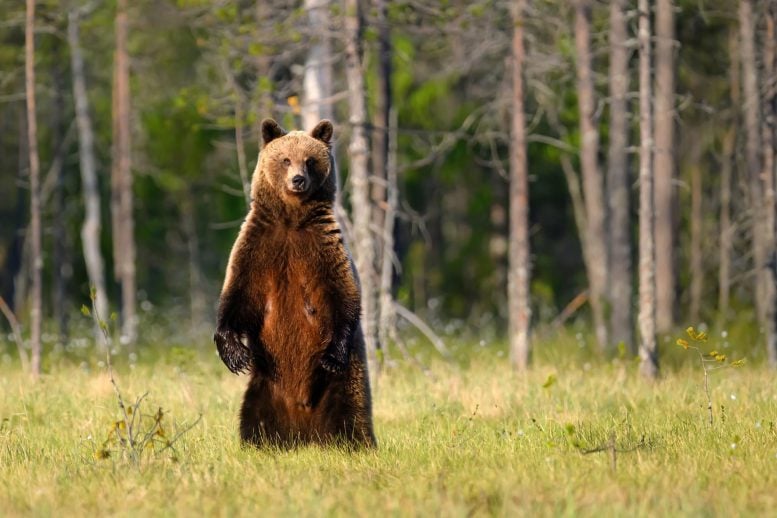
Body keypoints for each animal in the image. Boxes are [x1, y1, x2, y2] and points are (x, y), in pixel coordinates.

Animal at [214, 118, 376, 449]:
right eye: (286, 159)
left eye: (310, 160)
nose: (298, 180)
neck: (291, 219)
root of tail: (305, 431)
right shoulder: (258, 247)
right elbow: (238, 295)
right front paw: (235, 355)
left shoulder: (324, 249)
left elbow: (343, 296)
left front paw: (332, 356)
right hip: (264, 386)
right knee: (253, 420)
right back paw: (261, 442)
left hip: (344, 383)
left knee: (352, 415)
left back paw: (356, 443)